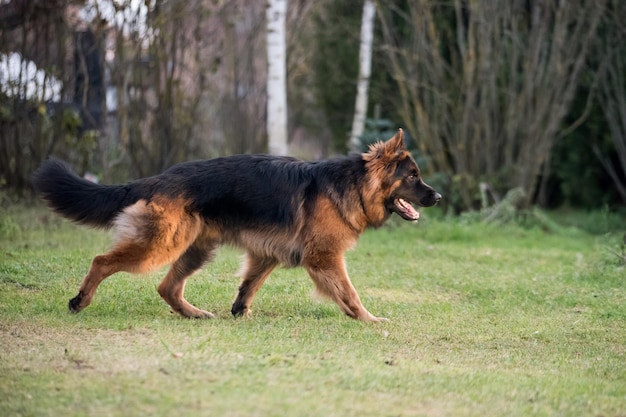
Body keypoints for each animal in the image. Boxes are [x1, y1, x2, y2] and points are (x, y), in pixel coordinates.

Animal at [30, 130, 438, 322]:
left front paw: (240, 312)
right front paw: (369, 319)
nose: (438, 197)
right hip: (159, 247)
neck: (353, 184)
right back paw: (80, 301)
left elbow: (248, 286)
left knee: (166, 287)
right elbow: (350, 294)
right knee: (102, 261)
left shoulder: (266, 254)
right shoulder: (325, 259)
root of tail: (159, 179)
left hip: (194, 249)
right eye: (413, 176)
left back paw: (193, 313)